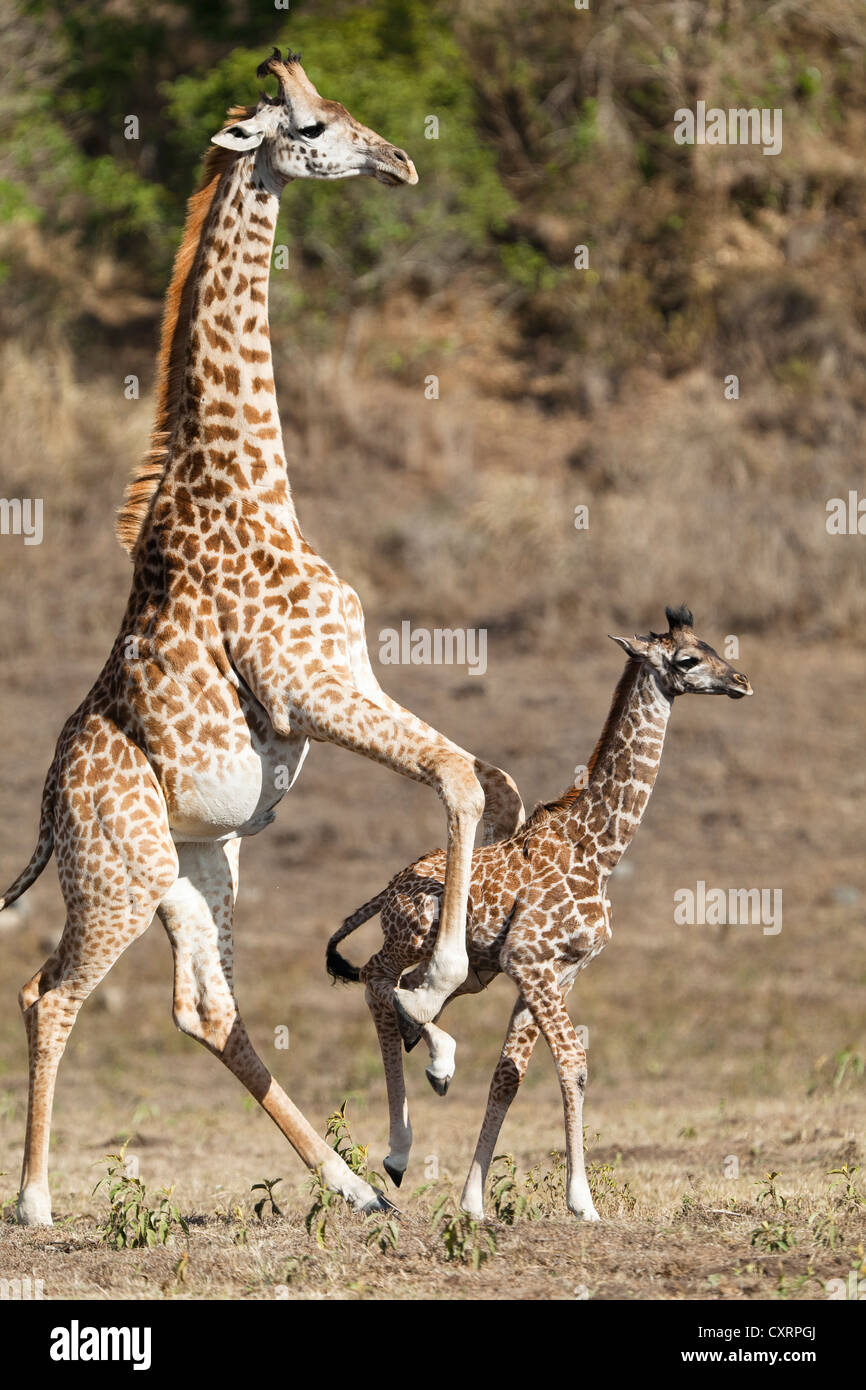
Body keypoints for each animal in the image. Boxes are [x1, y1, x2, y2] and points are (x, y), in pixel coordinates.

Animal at [0, 51, 522, 1228]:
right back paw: (38, 1201)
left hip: (198, 863)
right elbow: (458, 776)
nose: (399, 159)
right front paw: (429, 1001)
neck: (250, 483)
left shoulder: (347, 675)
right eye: (312, 124)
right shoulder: (308, 687)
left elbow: (489, 779)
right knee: (48, 992)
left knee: (207, 1008)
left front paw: (430, 1030)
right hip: (119, 868)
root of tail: (49, 811)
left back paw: (354, 1184)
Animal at [326, 608, 750, 1217]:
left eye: (711, 645)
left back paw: (424, 1065)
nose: (741, 681)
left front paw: (472, 1204)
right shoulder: (529, 959)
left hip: (475, 972)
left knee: (400, 992)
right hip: (416, 932)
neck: (599, 850)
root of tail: (388, 887)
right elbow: (573, 1063)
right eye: (688, 659)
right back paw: (408, 1130)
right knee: (376, 982)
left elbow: (510, 1074)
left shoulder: (559, 971)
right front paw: (583, 1203)